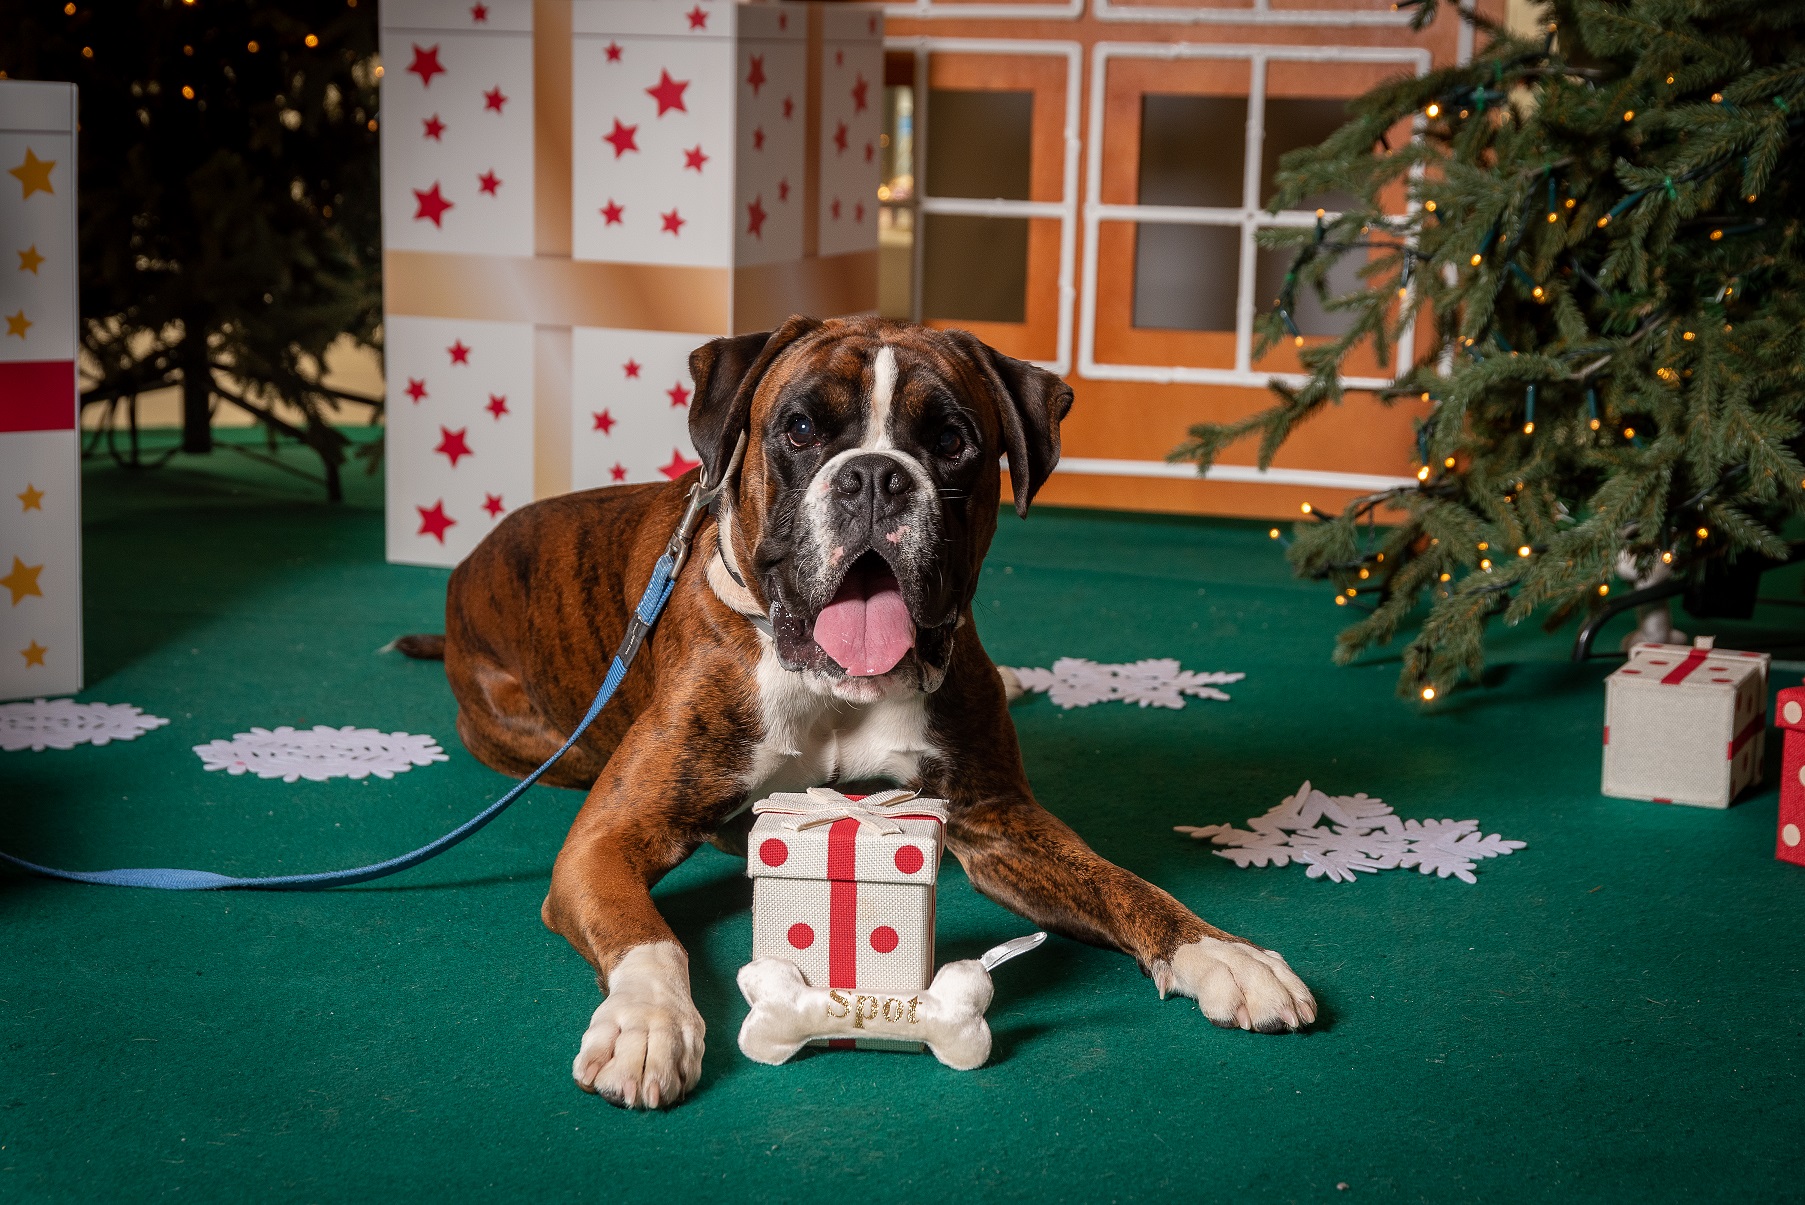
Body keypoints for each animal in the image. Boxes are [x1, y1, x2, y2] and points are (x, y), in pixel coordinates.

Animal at [402, 315, 1314, 1103]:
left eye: (949, 441)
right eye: (801, 430)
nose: (874, 476)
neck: (835, 685)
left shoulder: (1000, 822)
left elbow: (1123, 882)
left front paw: (1223, 953)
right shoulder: (607, 841)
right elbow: (647, 935)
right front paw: (647, 1023)